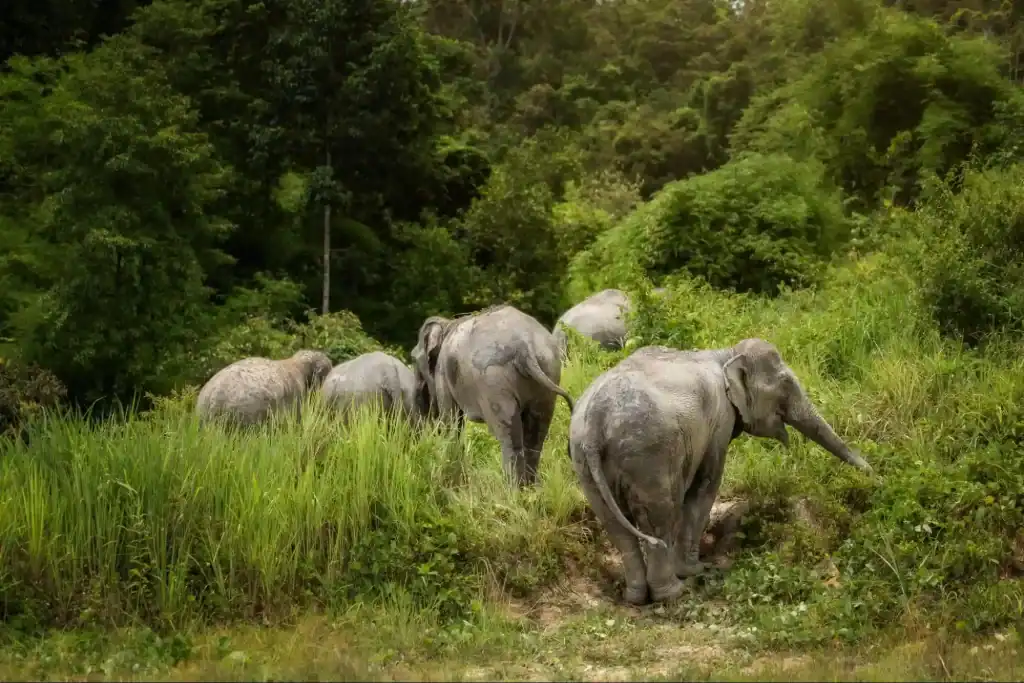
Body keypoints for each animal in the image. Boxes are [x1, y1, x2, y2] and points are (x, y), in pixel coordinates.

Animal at [412, 304, 576, 487]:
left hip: (493, 381)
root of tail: (524, 345)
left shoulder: (442, 373)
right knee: (536, 435)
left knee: (508, 437)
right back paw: (530, 489)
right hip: (548, 369)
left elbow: (452, 423)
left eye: (413, 360)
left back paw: (513, 490)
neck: (447, 324)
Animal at [567, 338, 873, 605]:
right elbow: (706, 485)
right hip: (647, 456)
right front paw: (694, 569)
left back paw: (635, 598)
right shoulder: (719, 422)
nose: (873, 473)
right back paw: (673, 593)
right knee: (658, 518)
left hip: (584, 463)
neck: (725, 353)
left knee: (617, 528)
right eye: (785, 383)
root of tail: (594, 420)